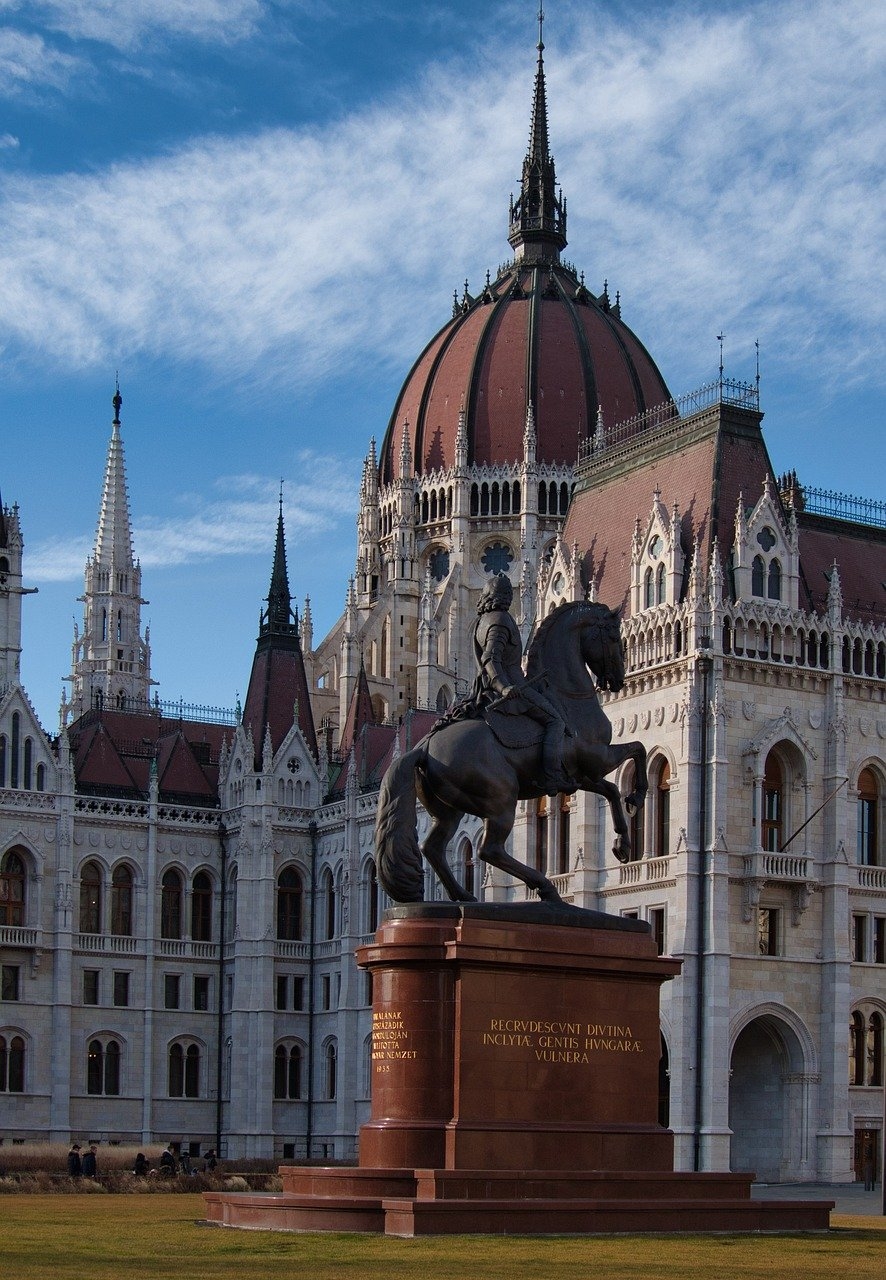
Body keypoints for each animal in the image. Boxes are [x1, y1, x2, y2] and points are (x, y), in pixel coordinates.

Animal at [376, 604, 650, 906]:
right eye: (613, 636)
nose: (617, 679)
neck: (565, 696)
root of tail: (422, 747)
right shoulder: (597, 758)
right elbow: (638, 749)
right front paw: (636, 797)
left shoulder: (582, 776)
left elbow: (612, 789)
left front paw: (622, 844)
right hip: (501, 800)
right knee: (489, 850)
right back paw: (543, 887)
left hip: (450, 810)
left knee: (432, 848)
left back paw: (463, 895)